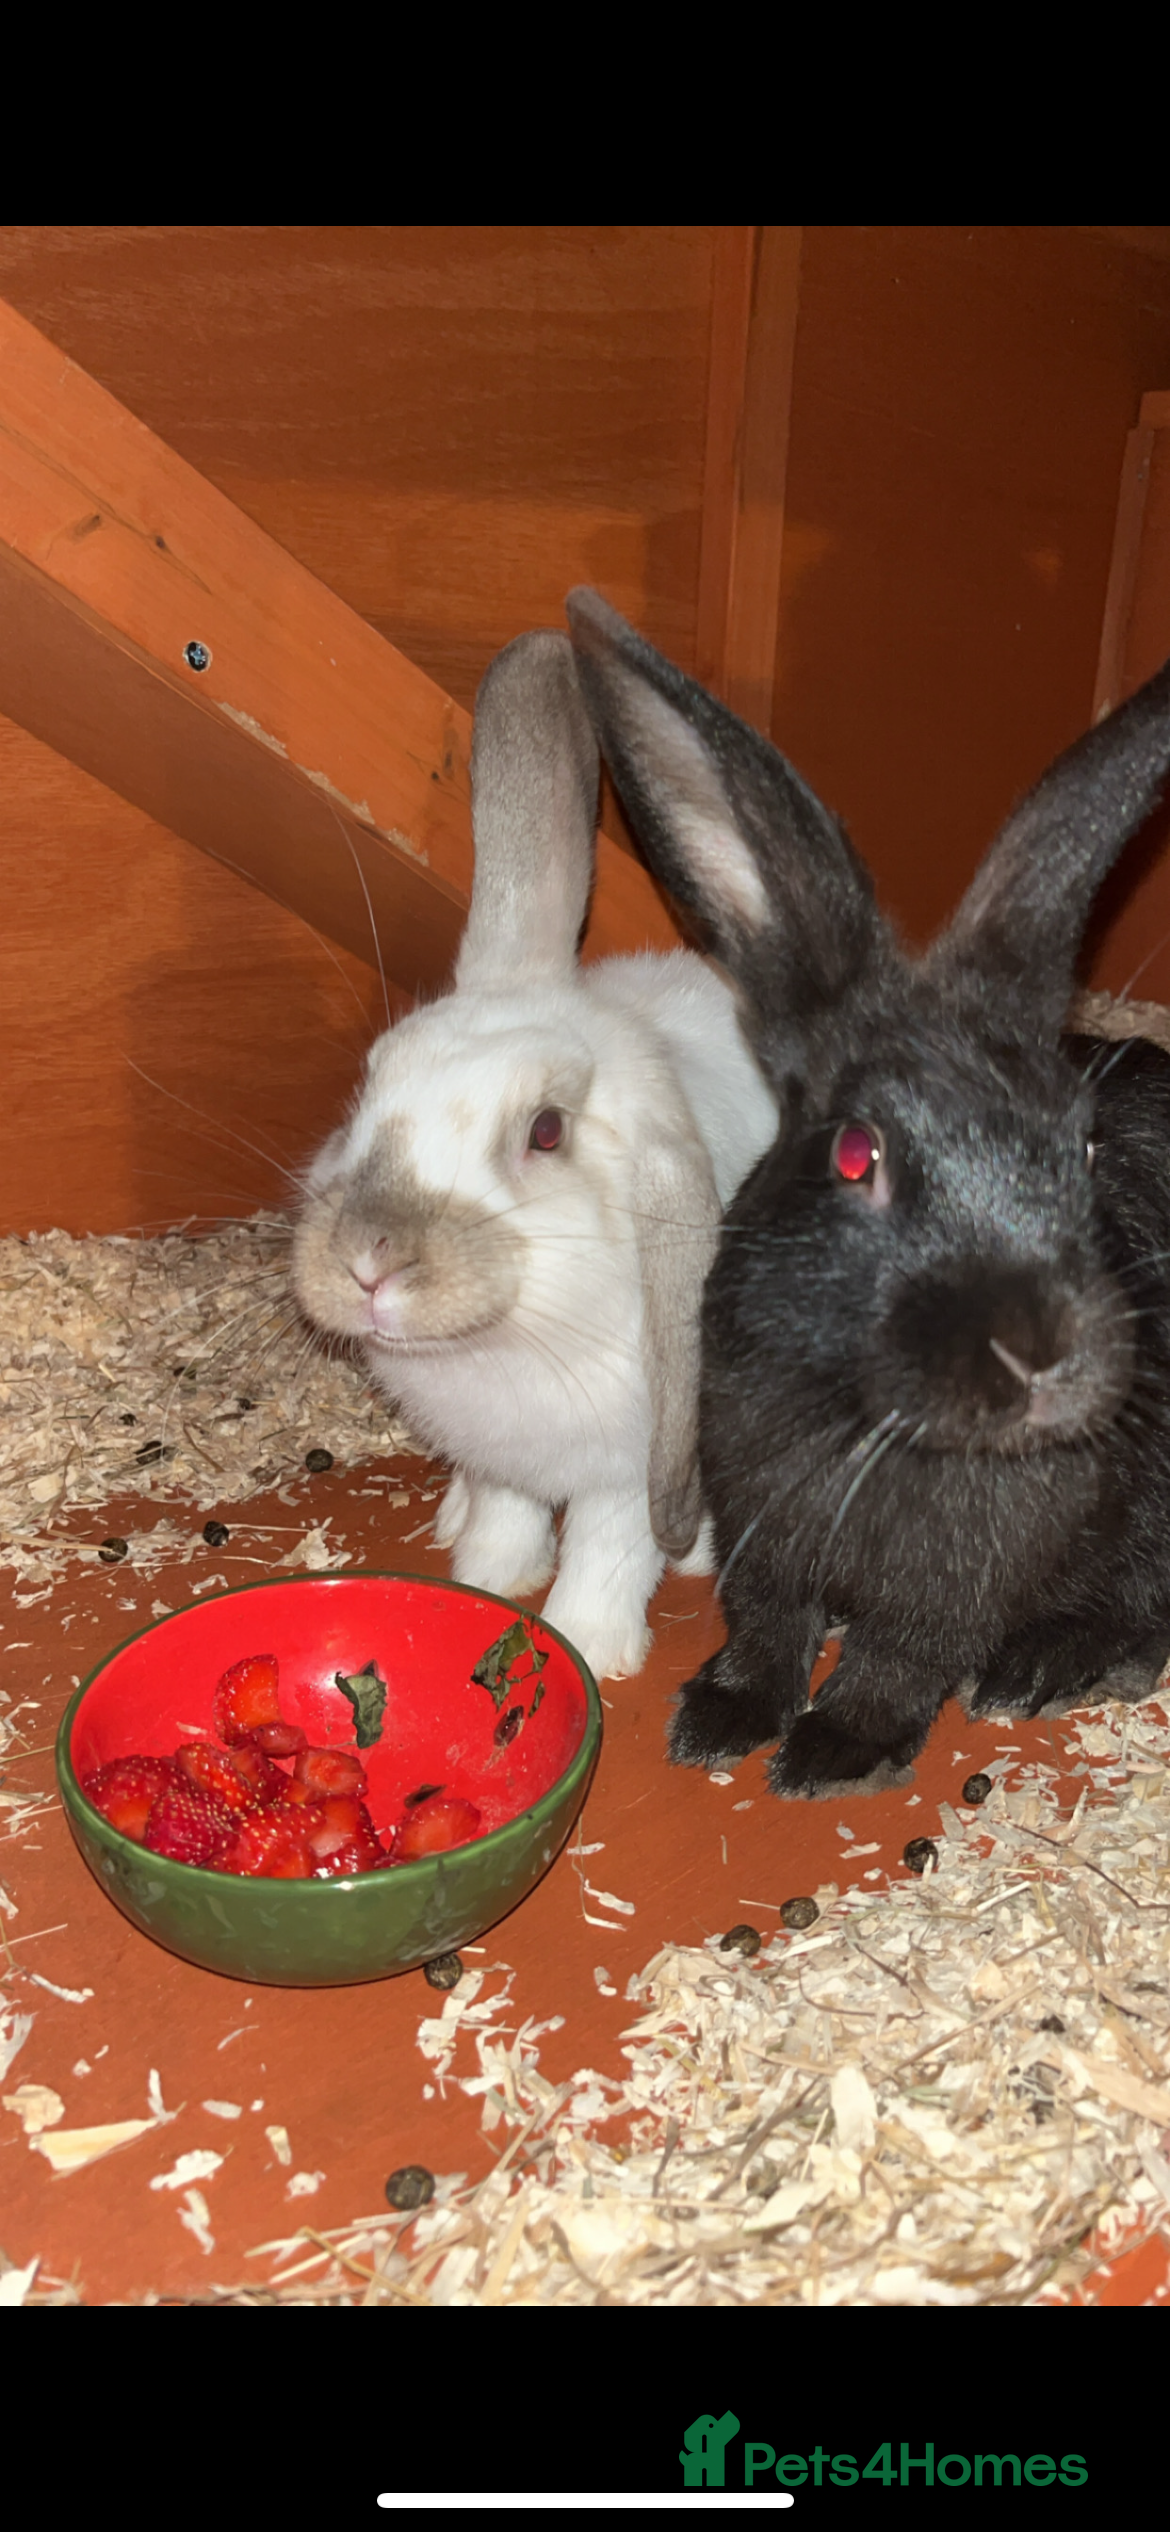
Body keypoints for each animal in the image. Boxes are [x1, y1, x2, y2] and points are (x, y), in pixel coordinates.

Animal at [291, 629, 778, 1682]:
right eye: (369, 1085)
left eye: (545, 1132)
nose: (367, 1263)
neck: (510, 1344)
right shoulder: (502, 1460)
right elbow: (509, 1516)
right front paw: (487, 1579)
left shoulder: (627, 1467)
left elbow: (608, 1551)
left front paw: (592, 1648)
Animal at [566, 582, 1170, 1795]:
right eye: (855, 1157)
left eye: (1082, 1149)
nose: (1046, 1359)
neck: (870, 1414)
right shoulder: (761, 1525)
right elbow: (771, 1625)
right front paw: (719, 1721)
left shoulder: (957, 1577)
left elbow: (902, 1653)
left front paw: (835, 1754)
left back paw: (1048, 1668)